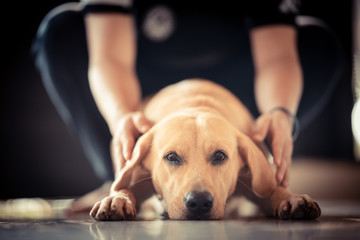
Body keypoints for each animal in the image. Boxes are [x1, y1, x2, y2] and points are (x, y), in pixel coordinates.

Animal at [89, 79, 320, 221]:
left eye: (219, 155)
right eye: (171, 157)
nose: (199, 202)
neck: (196, 104)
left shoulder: (253, 181)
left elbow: (273, 190)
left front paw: (290, 198)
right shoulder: (141, 178)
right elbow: (124, 187)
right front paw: (118, 198)